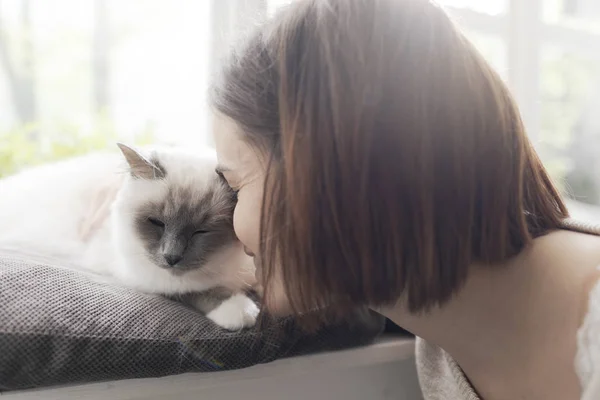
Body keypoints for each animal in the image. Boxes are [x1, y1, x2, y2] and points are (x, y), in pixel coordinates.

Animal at [0, 142, 260, 330]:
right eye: (156, 223)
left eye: (201, 231)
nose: (171, 257)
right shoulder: (142, 275)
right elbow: (192, 290)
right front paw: (239, 311)